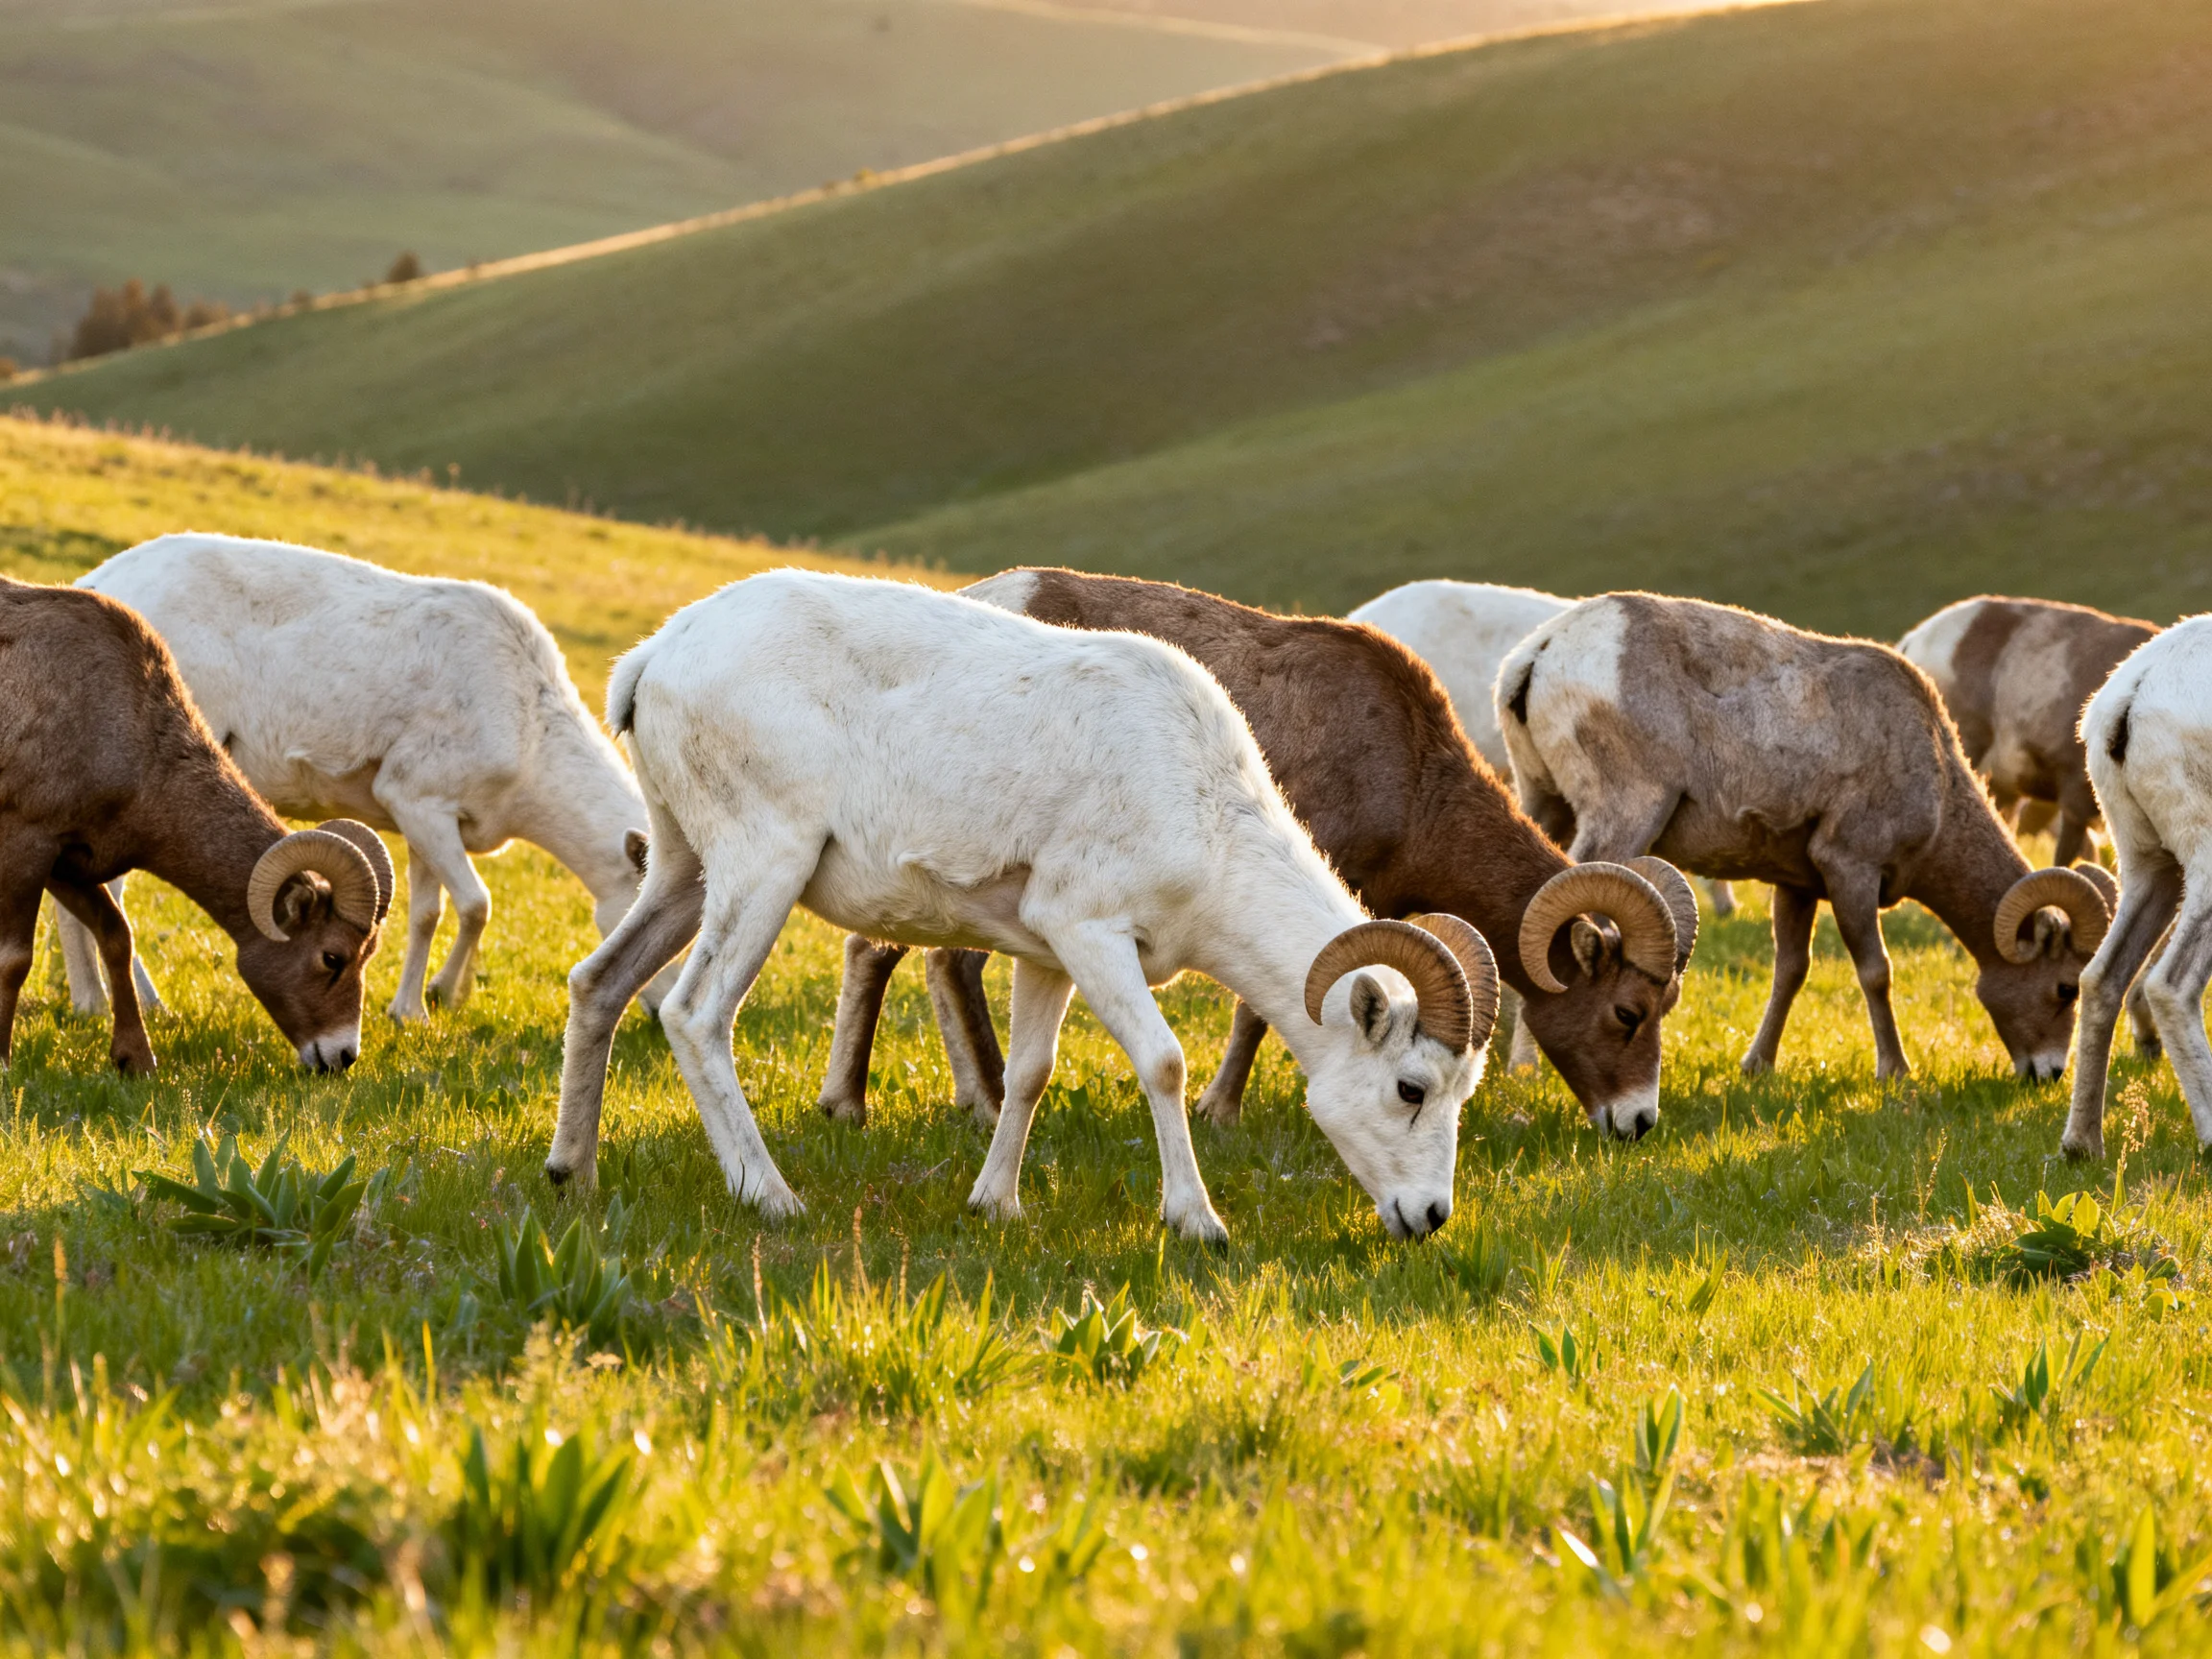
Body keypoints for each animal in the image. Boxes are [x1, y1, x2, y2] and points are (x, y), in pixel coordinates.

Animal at [0, 575, 388, 1073]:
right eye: (332, 956)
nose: (341, 1057)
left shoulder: (69, 863)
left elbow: (116, 937)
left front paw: (136, 1060)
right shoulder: (28, 844)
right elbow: (15, 959)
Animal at [56, 534, 664, 1026]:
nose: (655, 1018)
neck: (535, 748)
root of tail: (92, 580)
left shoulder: (428, 813)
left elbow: (428, 913)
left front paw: (410, 1010)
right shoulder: (415, 793)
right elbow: (477, 905)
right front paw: (446, 994)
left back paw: (91, 1001)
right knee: (109, 891)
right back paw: (131, 1003)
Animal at [547, 570, 1501, 1242]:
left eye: (1461, 1092)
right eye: (1411, 1087)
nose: (1429, 1217)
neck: (1203, 809)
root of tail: (655, 658)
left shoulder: (1048, 955)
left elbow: (1031, 1074)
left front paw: (994, 1207)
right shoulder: (1093, 933)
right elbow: (1162, 1062)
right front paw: (1198, 1222)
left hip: (682, 867)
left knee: (599, 982)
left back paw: (572, 1173)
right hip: (762, 865)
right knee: (695, 1013)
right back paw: (771, 1197)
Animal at [816, 569, 1696, 1143]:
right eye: (1628, 1012)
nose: (1637, 1122)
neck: (1408, 772)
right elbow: (1257, 1013)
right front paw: (1222, 1111)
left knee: (901, 957)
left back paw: (903, 1104)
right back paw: (937, 1103)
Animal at [1499, 593, 2110, 1081]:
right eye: (2066, 988)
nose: (2048, 1074)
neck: (1932, 766)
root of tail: (1539, 655)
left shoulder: (1797, 884)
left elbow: (1790, 971)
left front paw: (1757, 1066)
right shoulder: (1851, 868)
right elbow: (1876, 971)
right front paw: (1896, 1071)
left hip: (1544, 803)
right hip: (1624, 816)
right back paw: (1529, 1068)